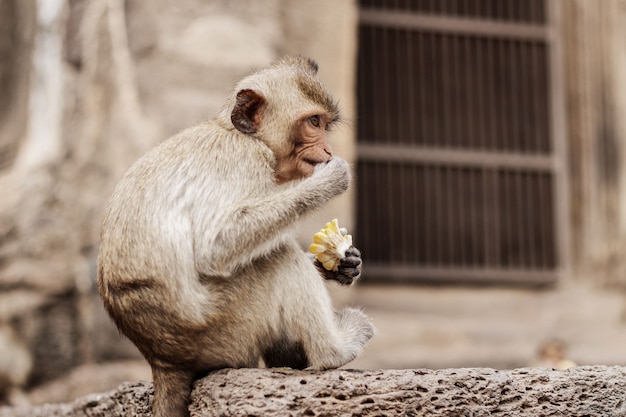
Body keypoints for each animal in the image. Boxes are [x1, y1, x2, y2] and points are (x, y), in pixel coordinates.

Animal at [96, 56, 370, 416]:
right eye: (313, 122)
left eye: (325, 124)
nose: (327, 148)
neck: (241, 134)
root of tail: (162, 360)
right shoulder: (246, 159)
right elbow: (216, 245)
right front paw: (329, 180)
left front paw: (341, 264)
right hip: (224, 329)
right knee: (279, 257)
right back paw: (334, 351)